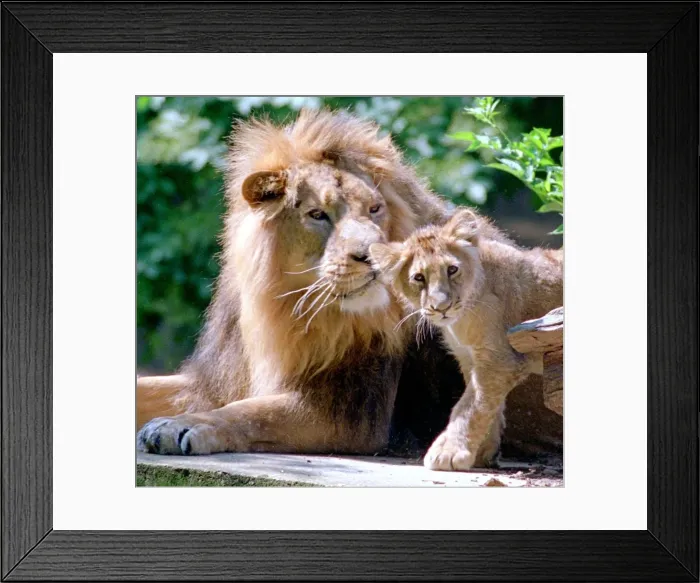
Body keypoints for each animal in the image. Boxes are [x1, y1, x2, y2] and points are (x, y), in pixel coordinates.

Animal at [136, 108, 507, 455]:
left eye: (374, 209)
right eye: (317, 215)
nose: (372, 255)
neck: (282, 309)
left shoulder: (348, 414)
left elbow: (248, 413)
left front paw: (180, 425)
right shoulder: (212, 381)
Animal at [369, 208, 563, 470]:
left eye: (452, 269)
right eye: (418, 278)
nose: (441, 307)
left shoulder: (500, 360)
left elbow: (469, 407)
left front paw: (448, 452)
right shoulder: (470, 358)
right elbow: (487, 404)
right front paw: (482, 454)